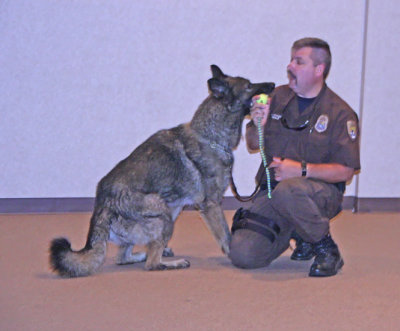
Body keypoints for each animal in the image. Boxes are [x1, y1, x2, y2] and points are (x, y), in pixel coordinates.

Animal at [49, 65, 276, 278]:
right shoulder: (211, 205)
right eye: (249, 85)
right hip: (164, 211)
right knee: (152, 264)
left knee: (123, 257)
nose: (273, 84)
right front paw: (231, 253)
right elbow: (226, 237)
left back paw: (148, 253)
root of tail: (102, 206)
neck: (210, 137)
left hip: (171, 210)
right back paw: (171, 262)